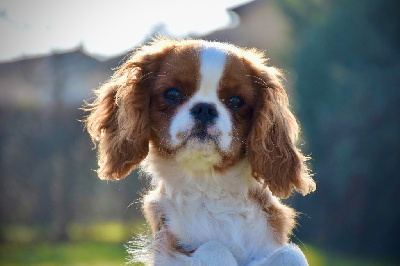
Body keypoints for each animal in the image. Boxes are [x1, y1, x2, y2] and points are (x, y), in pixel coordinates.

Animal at [84, 38, 316, 266]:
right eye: (172, 94)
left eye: (236, 101)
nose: (205, 108)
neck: (208, 185)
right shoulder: (171, 245)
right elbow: (214, 249)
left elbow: (290, 254)